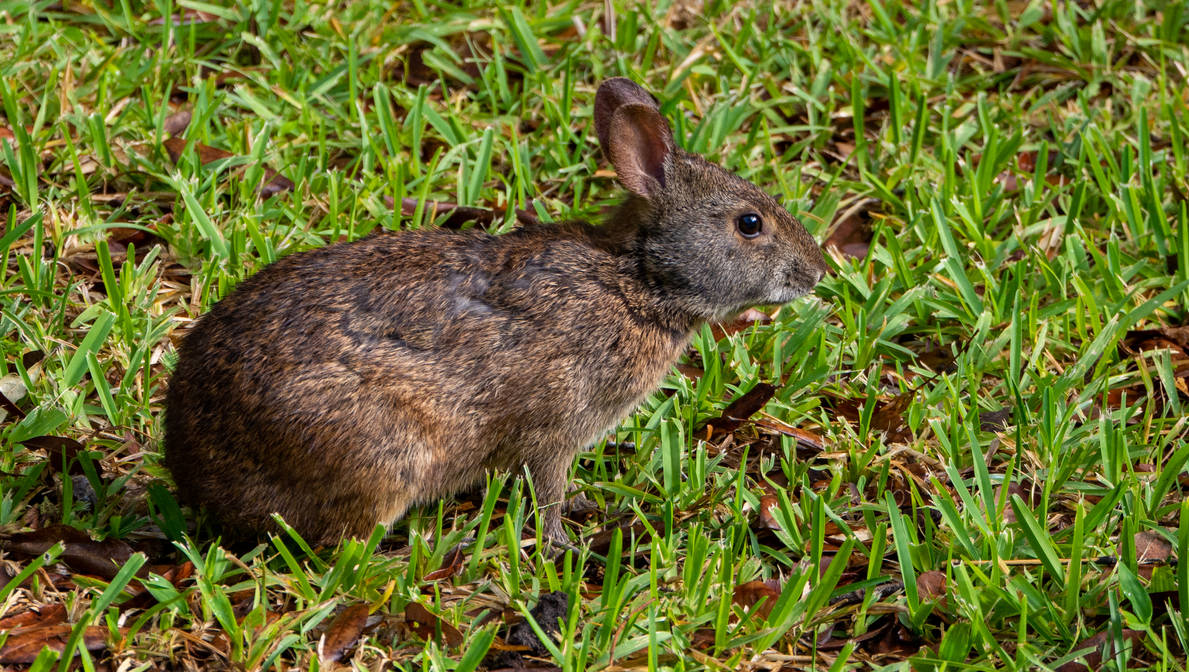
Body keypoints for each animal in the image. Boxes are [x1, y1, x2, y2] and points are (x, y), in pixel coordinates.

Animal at [163, 78, 829, 548]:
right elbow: (547, 489)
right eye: (749, 224)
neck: (638, 280)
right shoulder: (555, 426)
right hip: (379, 453)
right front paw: (563, 543)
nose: (817, 272)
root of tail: (197, 478)